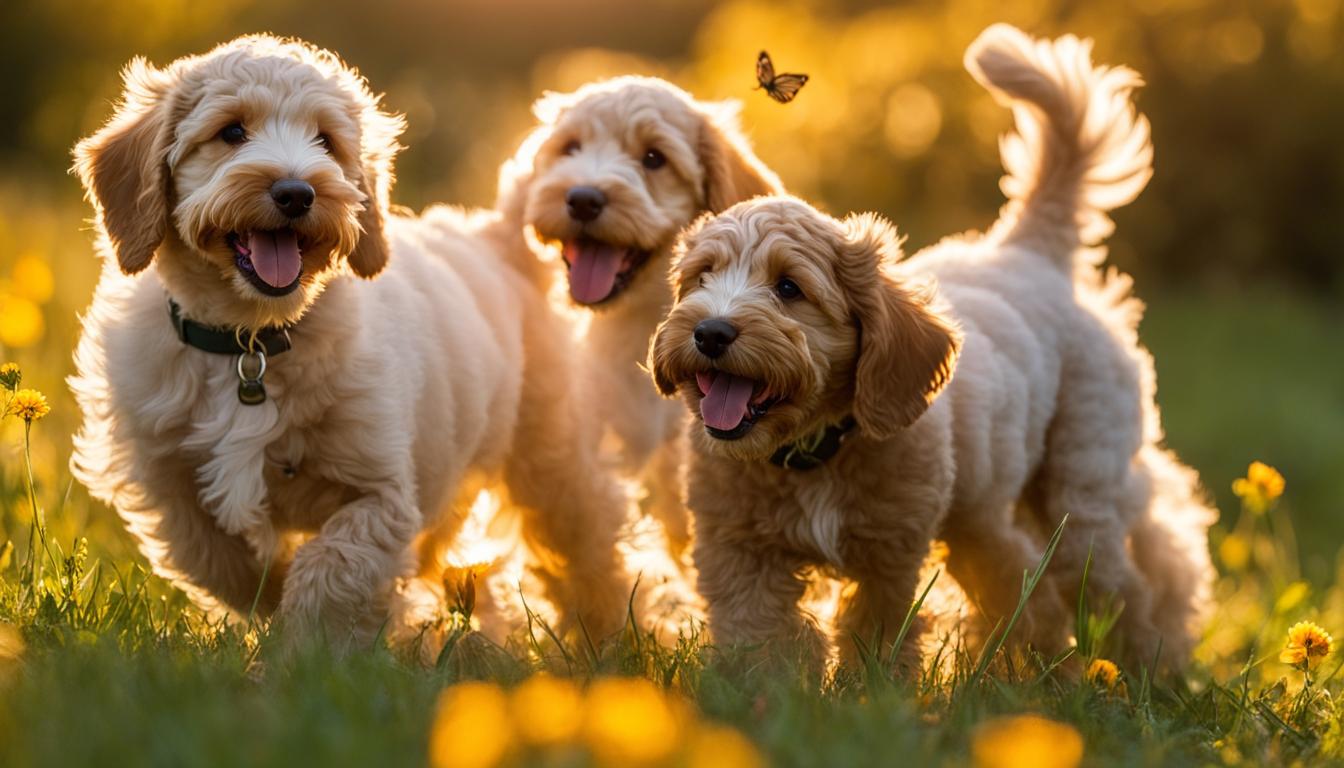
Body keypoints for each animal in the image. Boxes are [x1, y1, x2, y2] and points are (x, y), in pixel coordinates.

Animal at [63, 35, 628, 648]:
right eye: (231, 131)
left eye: (326, 142)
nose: (296, 192)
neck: (252, 341)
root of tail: (499, 239)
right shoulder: (166, 478)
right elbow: (221, 561)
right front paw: (277, 611)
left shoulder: (381, 488)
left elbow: (330, 567)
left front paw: (303, 651)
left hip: (552, 457)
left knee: (589, 545)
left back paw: (613, 637)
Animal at [499, 78, 784, 559]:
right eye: (570, 148)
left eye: (654, 158)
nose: (583, 198)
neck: (629, 324)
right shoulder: (576, 443)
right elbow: (590, 533)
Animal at [650, 25, 1220, 672]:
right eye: (701, 277)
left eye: (789, 288)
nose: (710, 332)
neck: (811, 455)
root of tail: (1026, 248)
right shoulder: (739, 550)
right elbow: (758, 633)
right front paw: (763, 687)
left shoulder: (889, 555)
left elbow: (876, 630)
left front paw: (871, 688)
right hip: (990, 509)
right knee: (1031, 571)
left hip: (1083, 476)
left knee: (1130, 573)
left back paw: (1155, 665)